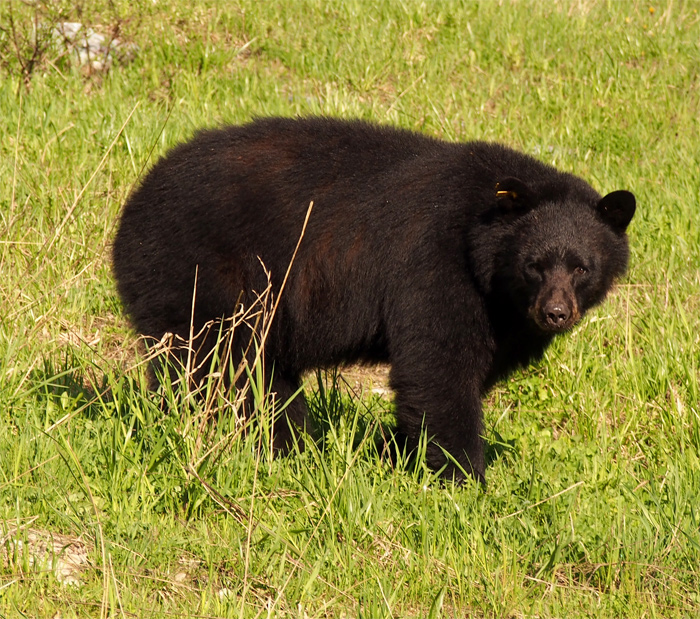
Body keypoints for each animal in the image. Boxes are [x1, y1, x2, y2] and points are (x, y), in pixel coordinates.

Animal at [113, 117, 636, 484]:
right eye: (534, 264)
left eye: (582, 267)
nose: (554, 313)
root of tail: (132, 204)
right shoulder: (433, 266)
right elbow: (438, 368)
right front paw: (463, 476)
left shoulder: (501, 315)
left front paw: (397, 449)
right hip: (205, 277)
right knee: (222, 368)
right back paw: (273, 444)